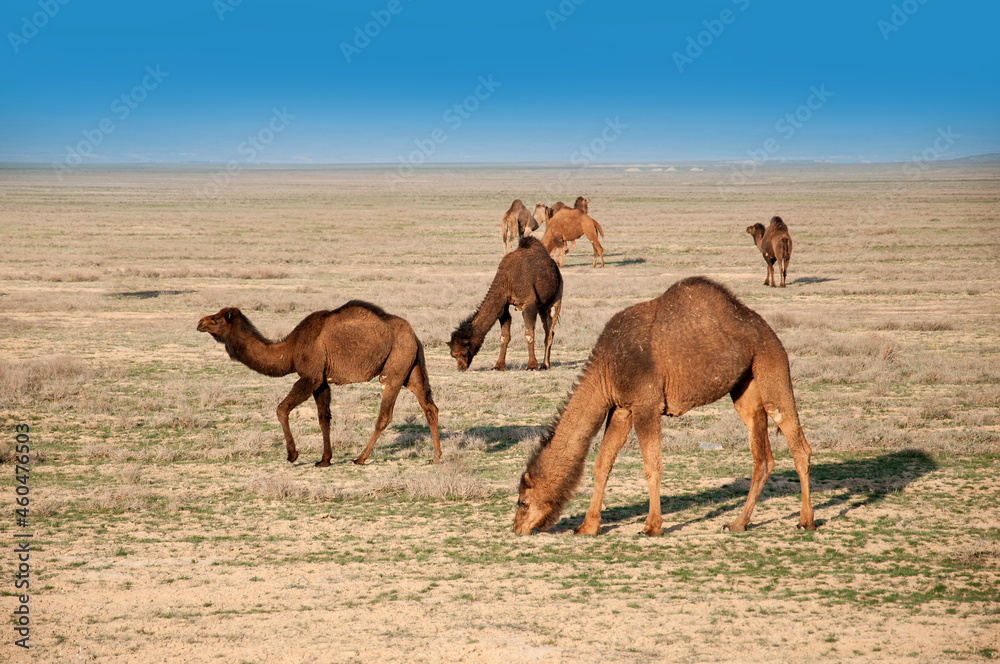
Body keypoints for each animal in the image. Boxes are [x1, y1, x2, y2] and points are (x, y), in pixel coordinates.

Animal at [197, 301, 441, 466]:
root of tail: (414, 336)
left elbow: (281, 409)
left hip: (394, 369)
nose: (200, 322)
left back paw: (360, 458)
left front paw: (292, 455)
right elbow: (324, 417)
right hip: (411, 370)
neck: (290, 349)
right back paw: (436, 457)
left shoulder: (310, 376)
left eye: (217, 319)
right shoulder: (322, 381)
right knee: (430, 407)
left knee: (385, 416)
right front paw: (325, 459)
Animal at [448, 236, 562, 371]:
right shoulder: (504, 304)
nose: (461, 368)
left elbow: (529, 334)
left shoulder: (529, 303)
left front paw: (532, 366)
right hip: (542, 306)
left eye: (464, 353)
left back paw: (545, 365)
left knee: (550, 330)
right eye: (453, 355)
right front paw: (499, 366)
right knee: (548, 329)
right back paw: (545, 364)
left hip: (556, 297)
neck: (507, 279)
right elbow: (504, 336)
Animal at [513, 276, 815, 536]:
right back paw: (737, 523)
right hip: (744, 387)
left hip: (771, 365)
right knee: (762, 456)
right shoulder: (623, 408)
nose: (516, 528)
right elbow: (602, 464)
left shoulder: (647, 404)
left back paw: (805, 521)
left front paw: (651, 527)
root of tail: (767, 329)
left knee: (798, 443)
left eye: (523, 501)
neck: (606, 369)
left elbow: (651, 465)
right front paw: (588, 527)